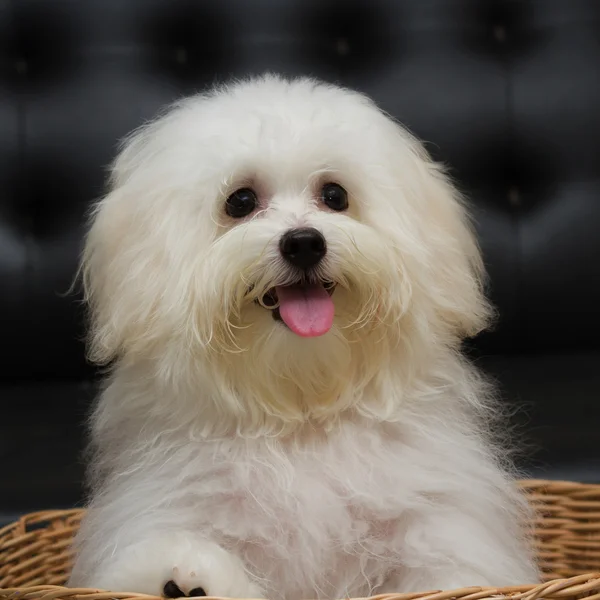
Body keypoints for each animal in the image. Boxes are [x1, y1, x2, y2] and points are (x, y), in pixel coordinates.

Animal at [67, 76, 540, 600]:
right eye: (240, 202)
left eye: (334, 195)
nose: (304, 242)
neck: (301, 415)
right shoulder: (162, 505)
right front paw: (185, 576)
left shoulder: (440, 519)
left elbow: (448, 572)